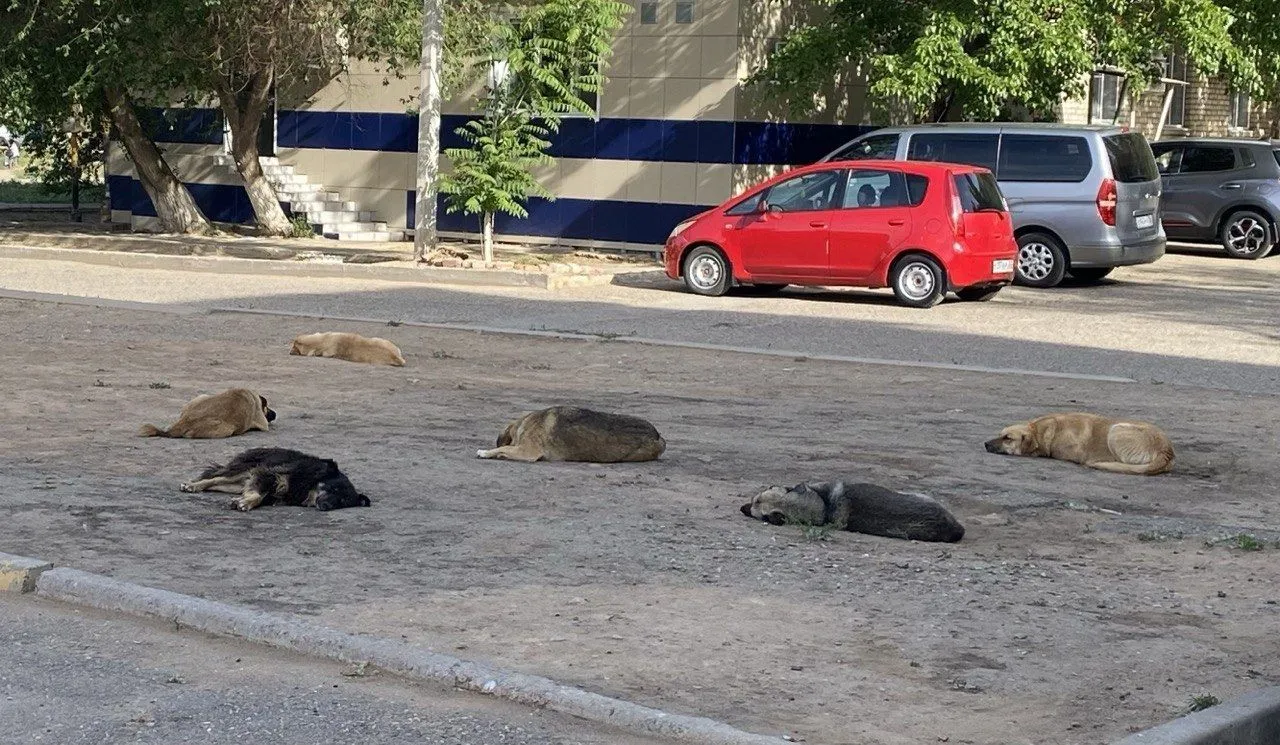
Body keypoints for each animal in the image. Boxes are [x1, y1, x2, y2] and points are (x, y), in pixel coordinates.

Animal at [175, 450, 368, 514]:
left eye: (342, 502)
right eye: (332, 488)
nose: (327, 506)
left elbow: (259, 496)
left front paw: (244, 502)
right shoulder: (266, 473)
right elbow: (258, 494)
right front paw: (245, 503)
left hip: (237, 484)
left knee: (217, 483)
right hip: (244, 470)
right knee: (214, 477)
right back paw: (192, 485)